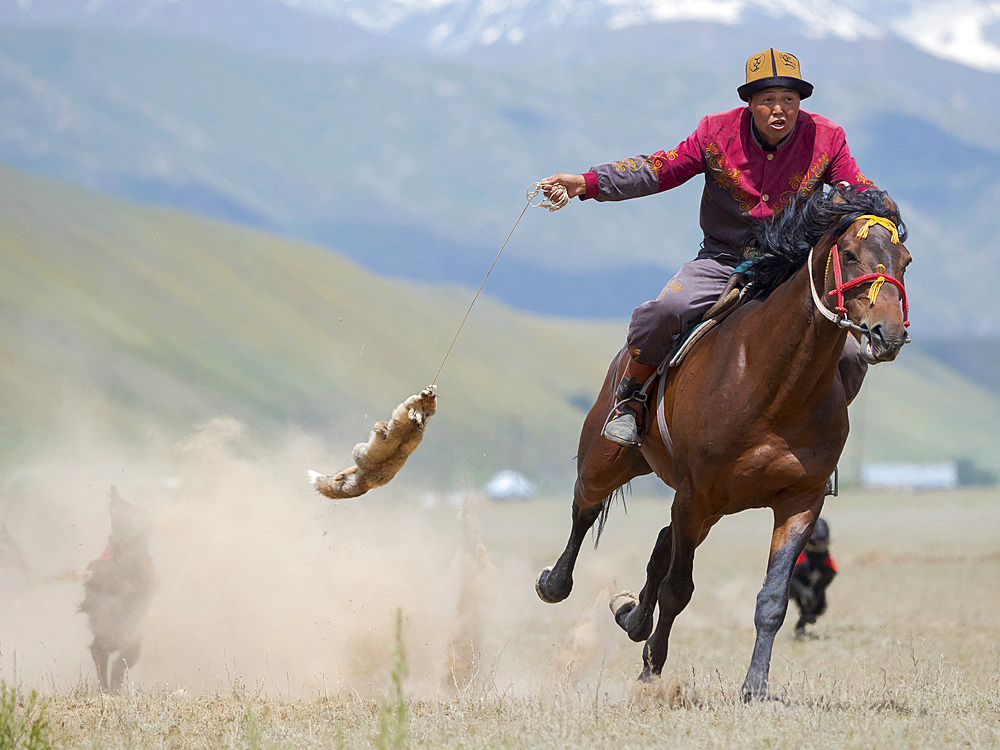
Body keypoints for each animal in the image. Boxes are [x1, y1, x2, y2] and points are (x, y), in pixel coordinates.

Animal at [536, 185, 912, 704]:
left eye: (905, 261)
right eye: (852, 255)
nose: (888, 333)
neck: (774, 386)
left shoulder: (799, 502)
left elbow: (772, 600)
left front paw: (754, 686)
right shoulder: (696, 494)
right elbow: (678, 588)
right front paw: (653, 669)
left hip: (706, 505)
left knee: (660, 544)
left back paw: (632, 618)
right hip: (611, 462)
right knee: (585, 509)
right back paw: (556, 584)